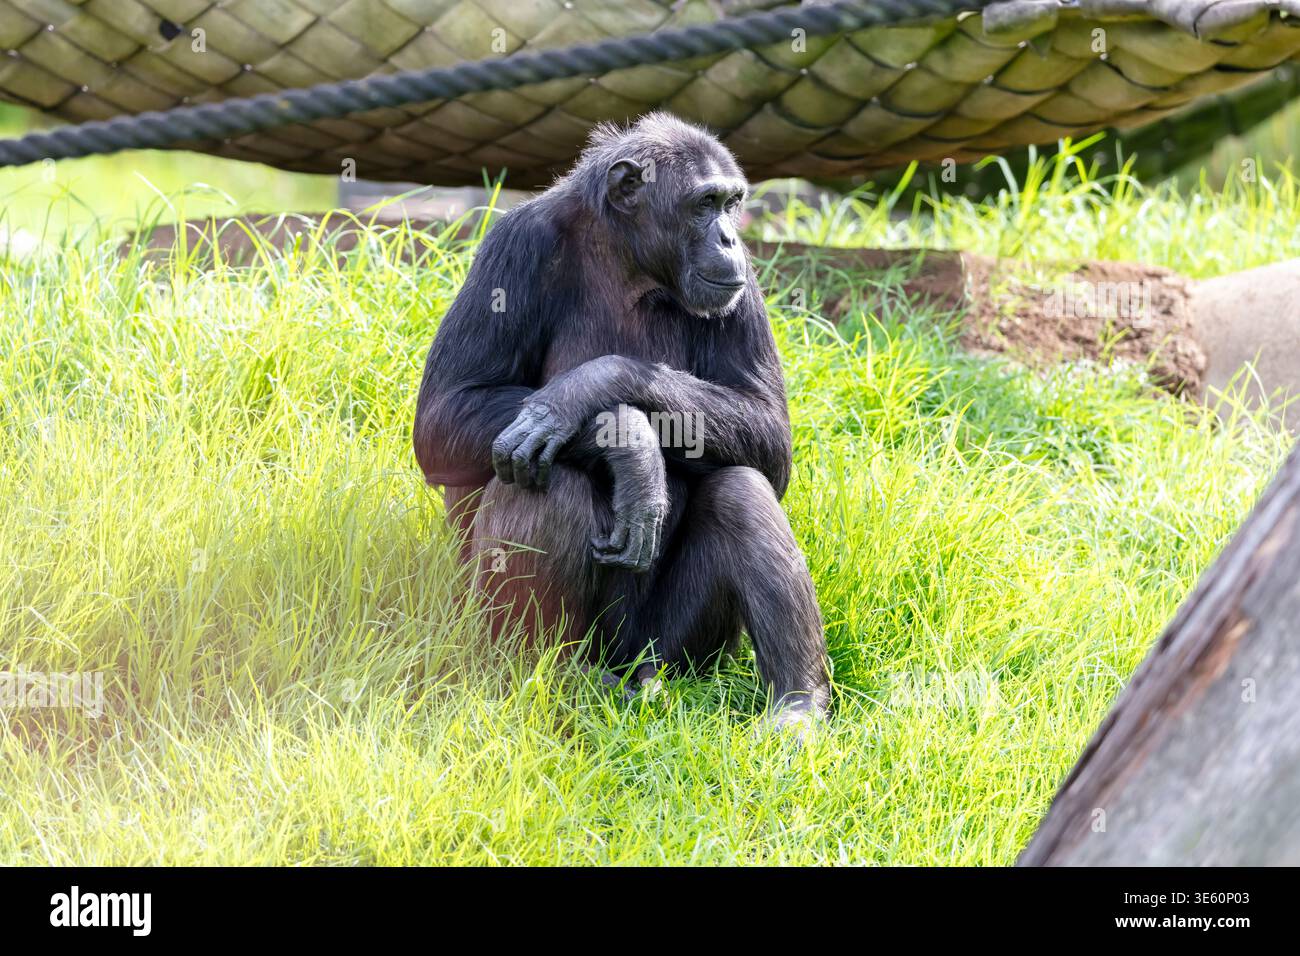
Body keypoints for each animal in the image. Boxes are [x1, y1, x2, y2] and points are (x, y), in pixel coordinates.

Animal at [413, 112, 829, 731]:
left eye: (732, 203)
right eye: (704, 204)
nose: (728, 236)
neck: (629, 259)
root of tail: (627, 667)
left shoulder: (745, 281)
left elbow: (769, 431)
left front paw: (593, 389)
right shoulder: (513, 247)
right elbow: (446, 411)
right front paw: (630, 446)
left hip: (678, 651)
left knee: (741, 489)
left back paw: (797, 705)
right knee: (544, 480)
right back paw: (543, 675)